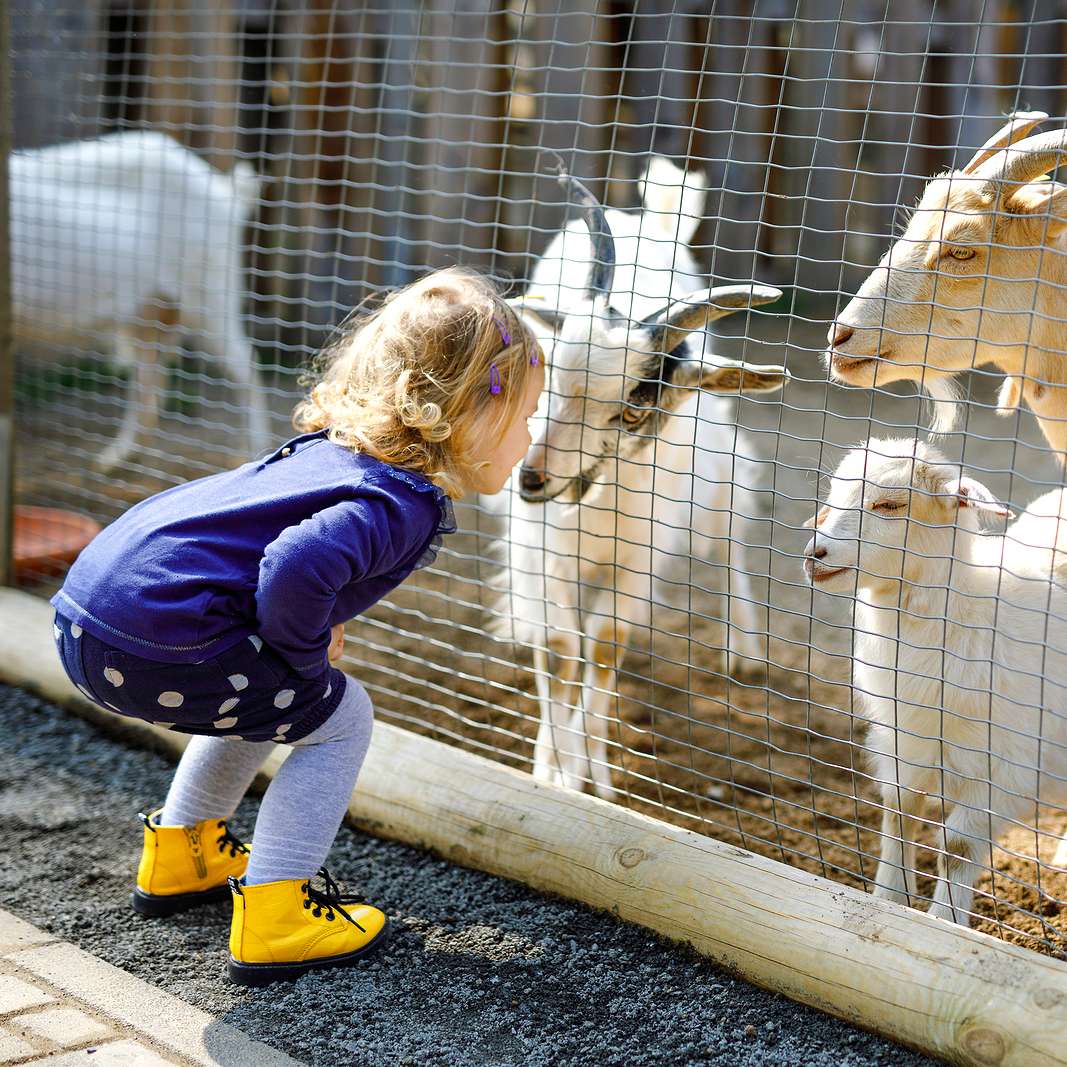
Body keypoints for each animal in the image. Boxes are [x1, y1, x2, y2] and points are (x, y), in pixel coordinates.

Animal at [12, 128, 268, 467]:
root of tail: (224, 193)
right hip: (147, 314)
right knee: (150, 378)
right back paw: (116, 457)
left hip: (209, 296)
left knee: (247, 369)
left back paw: (255, 453)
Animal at [495, 164, 789, 802]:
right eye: (548, 376)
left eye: (633, 409)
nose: (531, 477)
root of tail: (650, 219)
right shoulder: (538, 551)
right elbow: (560, 650)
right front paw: (552, 771)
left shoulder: (637, 558)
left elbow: (604, 647)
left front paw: (593, 778)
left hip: (716, 473)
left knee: (730, 541)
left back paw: (744, 650)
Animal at [802, 433, 1067, 926]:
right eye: (834, 495)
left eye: (890, 504)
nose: (815, 556)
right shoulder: (904, 738)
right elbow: (899, 814)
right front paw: (890, 898)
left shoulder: (1004, 766)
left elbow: (957, 846)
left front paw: (945, 921)